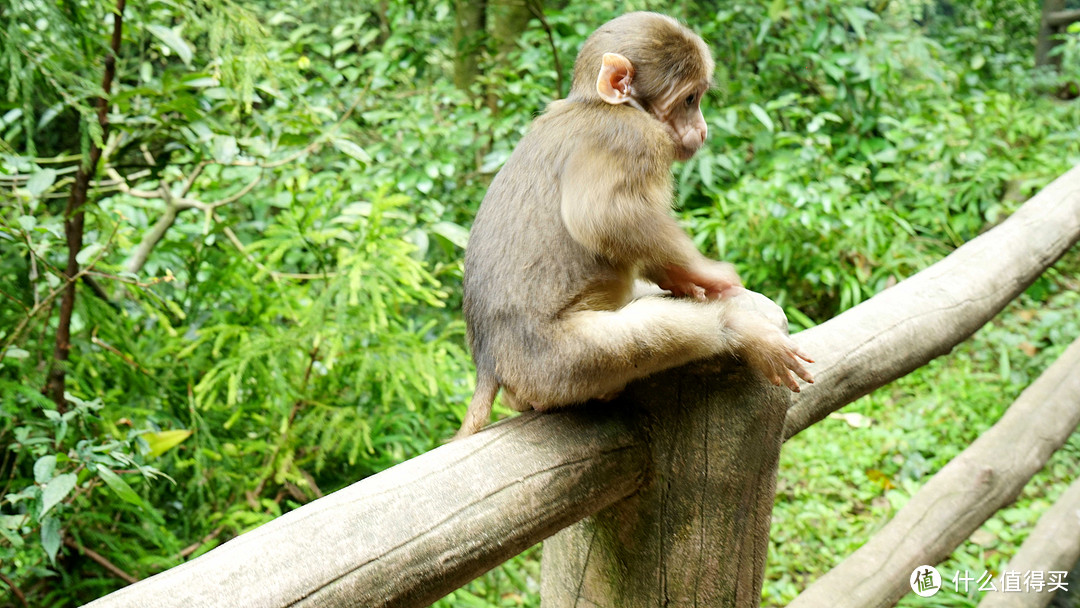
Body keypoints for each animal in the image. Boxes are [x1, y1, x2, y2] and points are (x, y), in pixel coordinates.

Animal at [453, 11, 812, 440]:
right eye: (689, 100)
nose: (703, 129)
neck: (597, 103)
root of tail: (488, 363)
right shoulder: (634, 138)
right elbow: (602, 216)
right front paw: (704, 273)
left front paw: (679, 277)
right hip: (553, 364)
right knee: (642, 334)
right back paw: (736, 328)